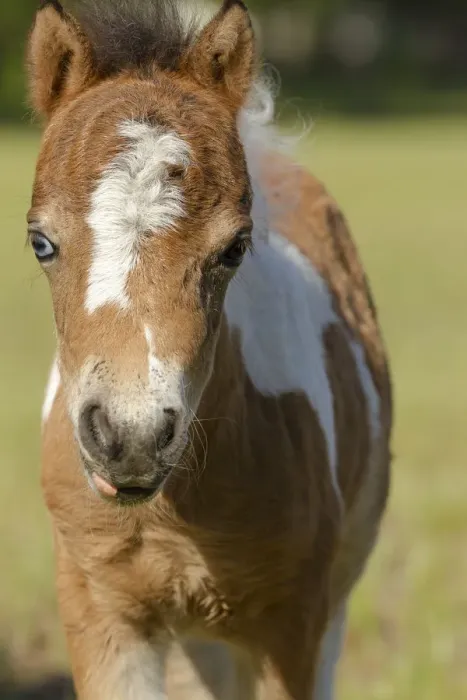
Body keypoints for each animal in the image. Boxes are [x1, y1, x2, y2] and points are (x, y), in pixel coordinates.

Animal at [26, 1, 392, 698]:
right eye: (40, 242)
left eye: (235, 248)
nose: (131, 438)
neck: (174, 511)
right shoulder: (101, 613)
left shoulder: (292, 622)